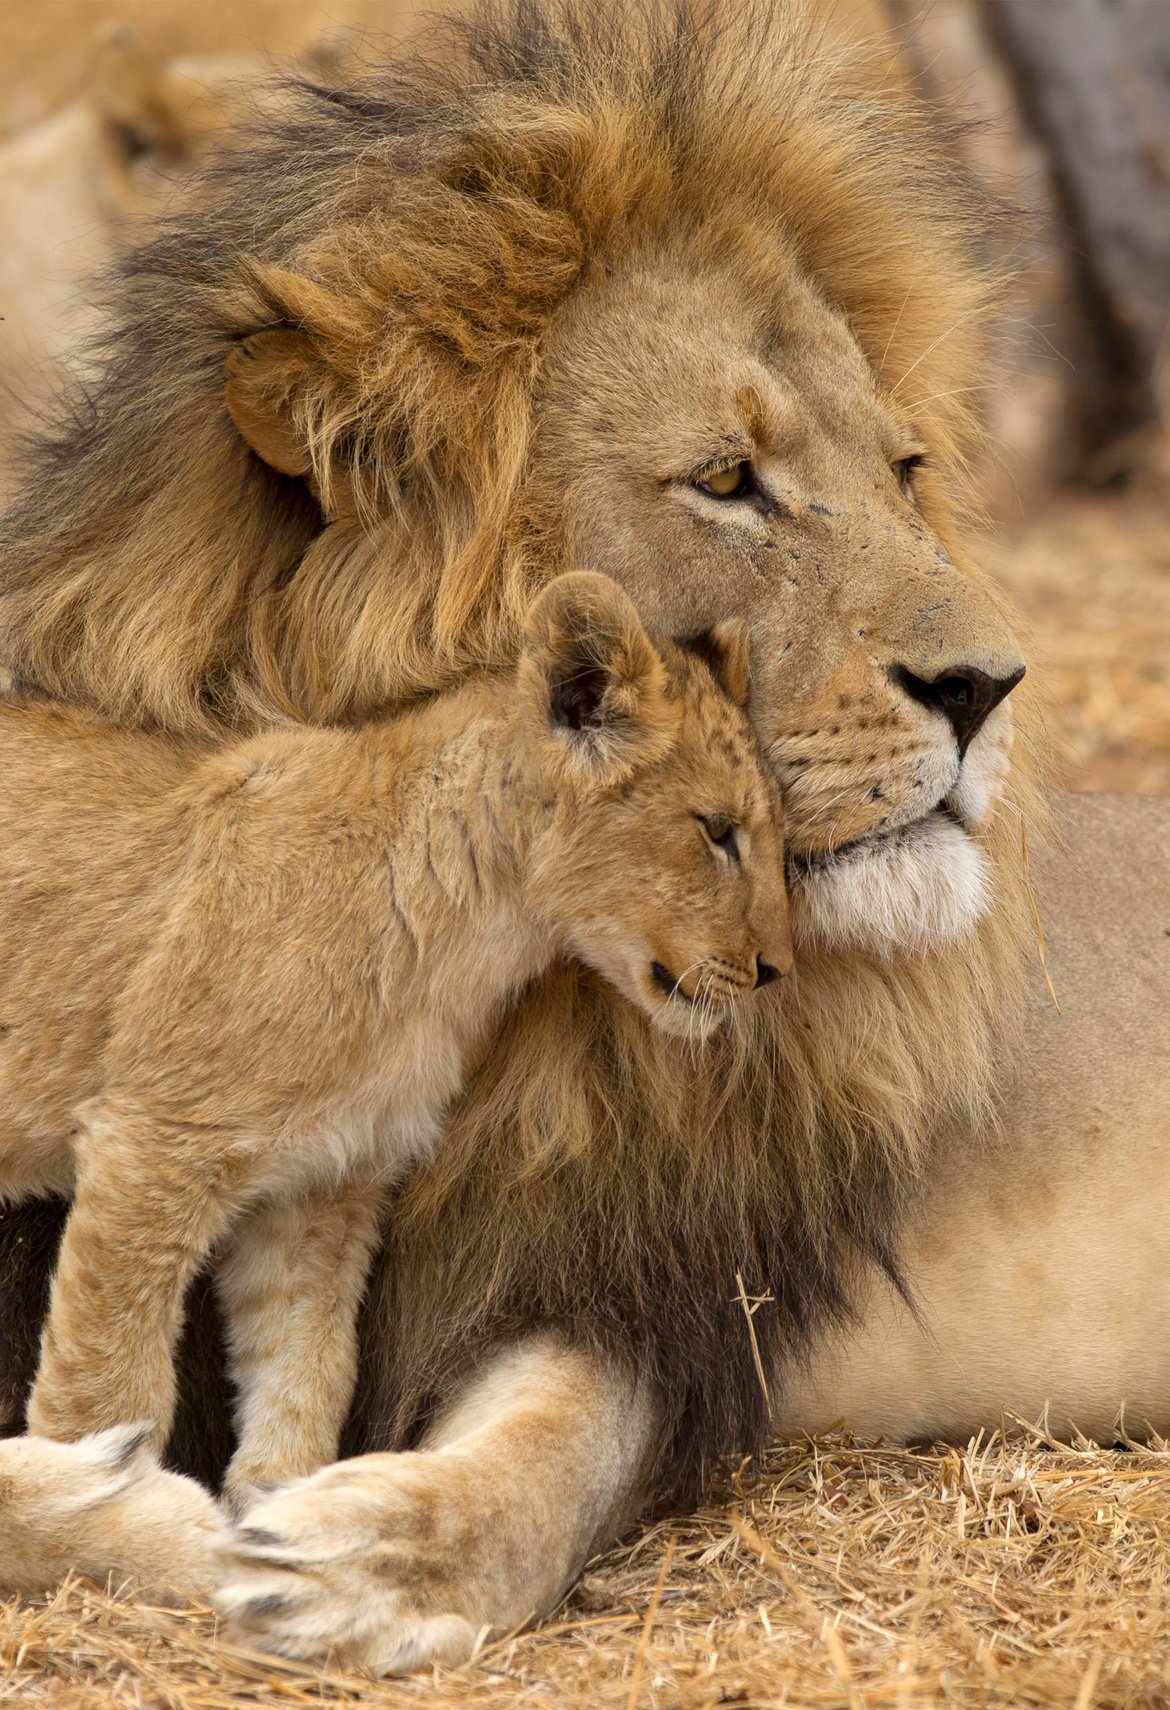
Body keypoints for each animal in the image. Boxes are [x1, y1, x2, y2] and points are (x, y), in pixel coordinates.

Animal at [2, 0, 1170, 1675]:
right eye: (729, 481)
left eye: (902, 472)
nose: (991, 685)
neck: (516, 980)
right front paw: (142, 1502)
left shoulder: (647, 1278)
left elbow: (550, 1444)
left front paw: (369, 1548)